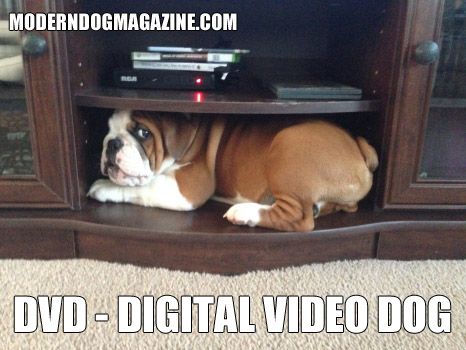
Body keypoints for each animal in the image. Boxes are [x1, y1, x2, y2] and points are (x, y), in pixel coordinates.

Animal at [90, 109, 378, 232]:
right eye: (107, 128)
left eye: (143, 132)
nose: (111, 143)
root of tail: (359, 146)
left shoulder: (187, 187)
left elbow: (142, 186)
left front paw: (104, 186)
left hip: (288, 142)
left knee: (298, 218)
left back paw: (246, 213)